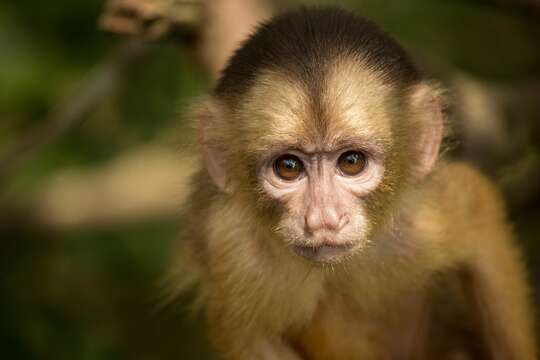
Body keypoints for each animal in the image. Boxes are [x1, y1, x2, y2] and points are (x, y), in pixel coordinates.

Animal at [169, 6, 536, 360]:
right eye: (288, 167)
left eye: (351, 162)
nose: (323, 220)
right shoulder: (233, 248)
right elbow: (250, 337)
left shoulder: (422, 221)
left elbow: (480, 210)